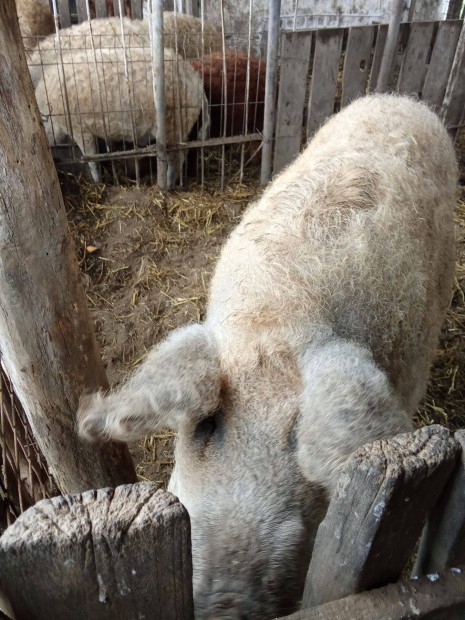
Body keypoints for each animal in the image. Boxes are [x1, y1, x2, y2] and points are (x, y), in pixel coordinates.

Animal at [35, 46, 204, 184]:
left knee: (177, 157)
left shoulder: (79, 128)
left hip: (173, 126)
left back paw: (168, 184)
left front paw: (97, 183)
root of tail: (195, 81)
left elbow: (90, 158)